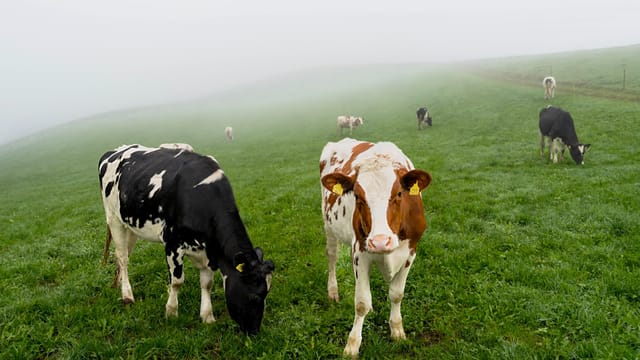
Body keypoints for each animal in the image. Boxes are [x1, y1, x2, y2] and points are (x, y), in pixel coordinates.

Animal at [99, 143, 274, 334]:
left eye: (267, 294)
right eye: (254, 296)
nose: (254, 331)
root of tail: (114, 151)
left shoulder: (208, 250)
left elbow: (207, 283)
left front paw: (207, 316)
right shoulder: (172, 243)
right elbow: (177, 281)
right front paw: (171, 312)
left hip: (130, 225)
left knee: (123, 255)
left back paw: (118, 285)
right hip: (113, 218)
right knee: (123, 257)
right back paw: (127, 295)